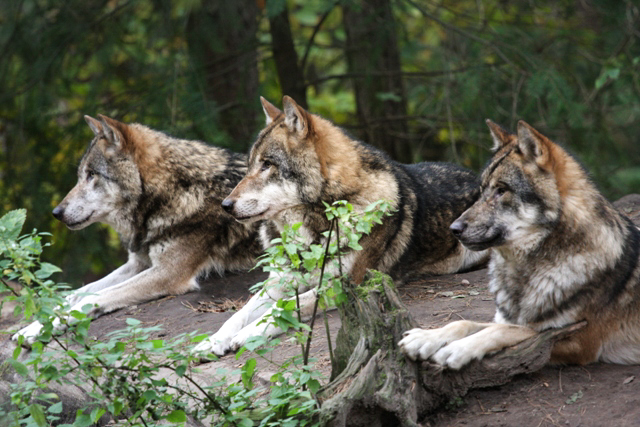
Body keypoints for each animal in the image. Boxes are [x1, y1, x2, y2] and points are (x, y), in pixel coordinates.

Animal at [13, 115, 262, 346]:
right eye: (80, 175)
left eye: (92, 174)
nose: (56, 212)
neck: (169, 193)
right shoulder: (138, 263)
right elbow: (75, 294)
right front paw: (34, 327)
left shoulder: (168, 273)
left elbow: (93, 297)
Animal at [192, 96, 488, 358]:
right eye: (250, 165)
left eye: (267, 165)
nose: (225, 205)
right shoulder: (279, 280)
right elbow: (238, 314)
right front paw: (212, 341)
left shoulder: (343, 286)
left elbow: (282, 307)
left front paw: (249, 334)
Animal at [398, 121, 640, 372]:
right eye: (482, 190)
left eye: (501, 190)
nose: (453, 228)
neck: (523, 272)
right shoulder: (507, 317)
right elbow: (464, 323)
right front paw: (425, 338)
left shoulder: (580, 339)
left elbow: (505, 330)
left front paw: (457, 349)